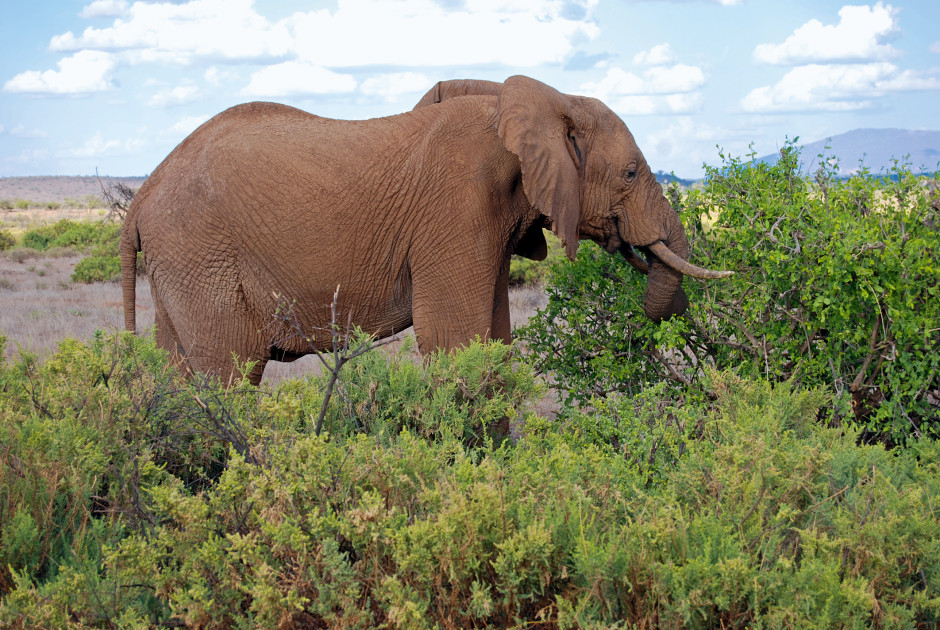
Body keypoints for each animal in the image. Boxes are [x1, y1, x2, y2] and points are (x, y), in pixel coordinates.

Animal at [121, 76, 732, 388]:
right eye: (630, 174)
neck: (544, 100)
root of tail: (143, 195)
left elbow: (493, 340)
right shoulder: (459, 209)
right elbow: (453, 340)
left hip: (180, 263)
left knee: (179, 372)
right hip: (200, 253)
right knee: (232, 368)